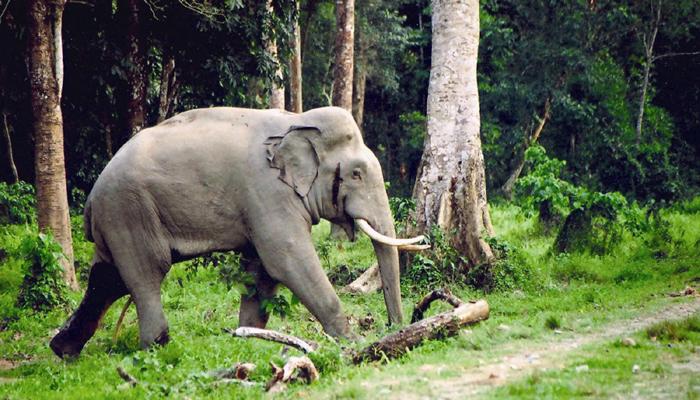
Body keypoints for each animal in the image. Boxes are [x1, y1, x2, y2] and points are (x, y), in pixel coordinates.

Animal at [50, 104, 422, 358]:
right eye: (356, 174)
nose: (394, 327)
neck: (295, 120)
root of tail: (93, 196)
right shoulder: (267, 192)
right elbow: (286, 259)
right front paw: (353, 342)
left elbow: (261, 271)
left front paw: (251, 338)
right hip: (129, 212)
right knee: (145, 274)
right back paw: (158, 346)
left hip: (117, 219)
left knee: (106, 278)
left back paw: (62, 350)